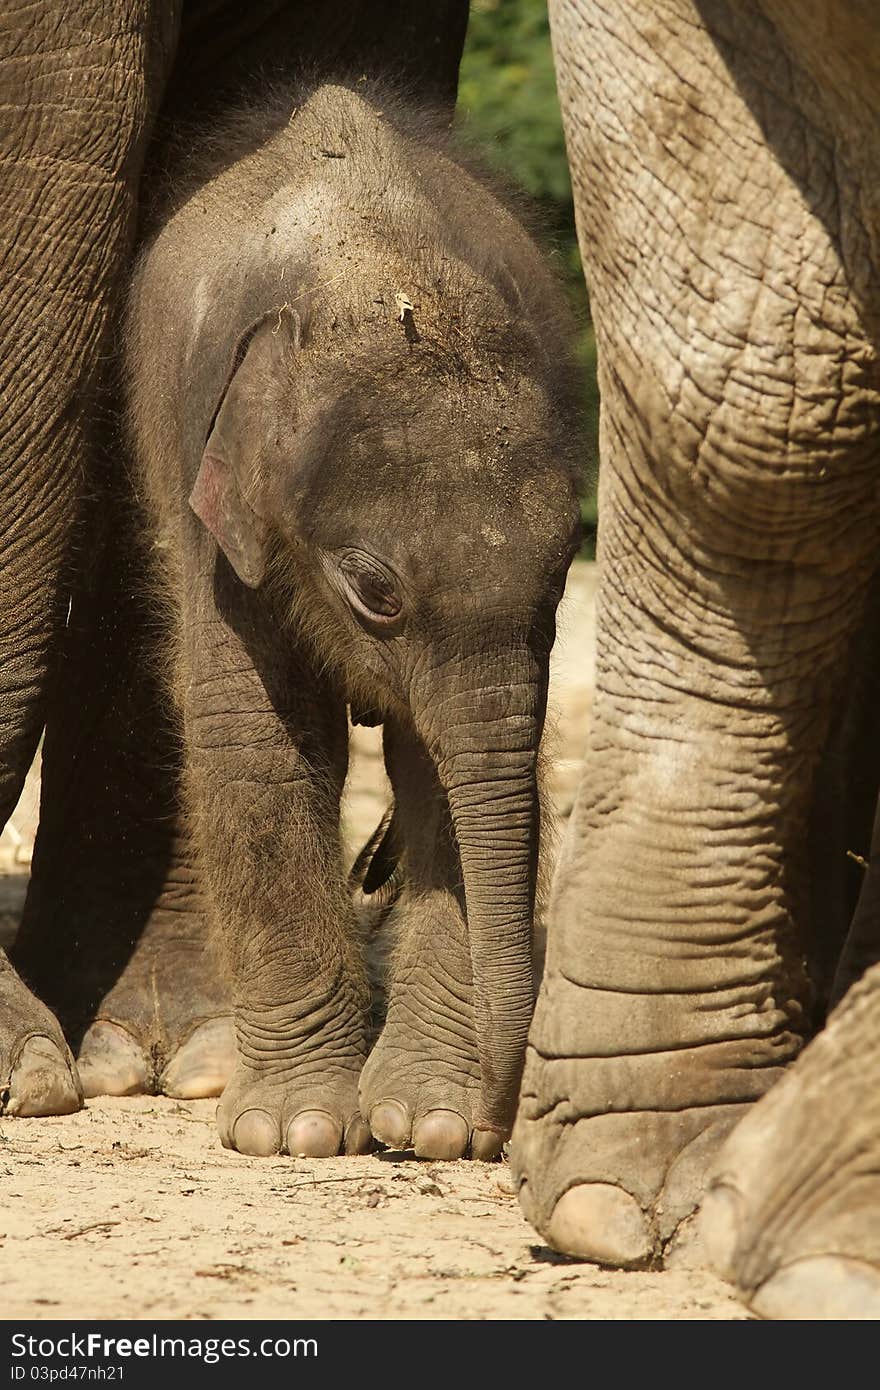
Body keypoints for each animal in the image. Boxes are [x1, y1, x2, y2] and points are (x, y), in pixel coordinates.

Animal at [123, 78, 575, 1162]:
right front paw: (296, 1135)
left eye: (560, 582)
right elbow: (256, 737)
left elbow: (441, 769)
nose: (502, 1128)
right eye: (373, 591)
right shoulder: (214, 494)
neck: (376, 275)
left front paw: (430, 1127)